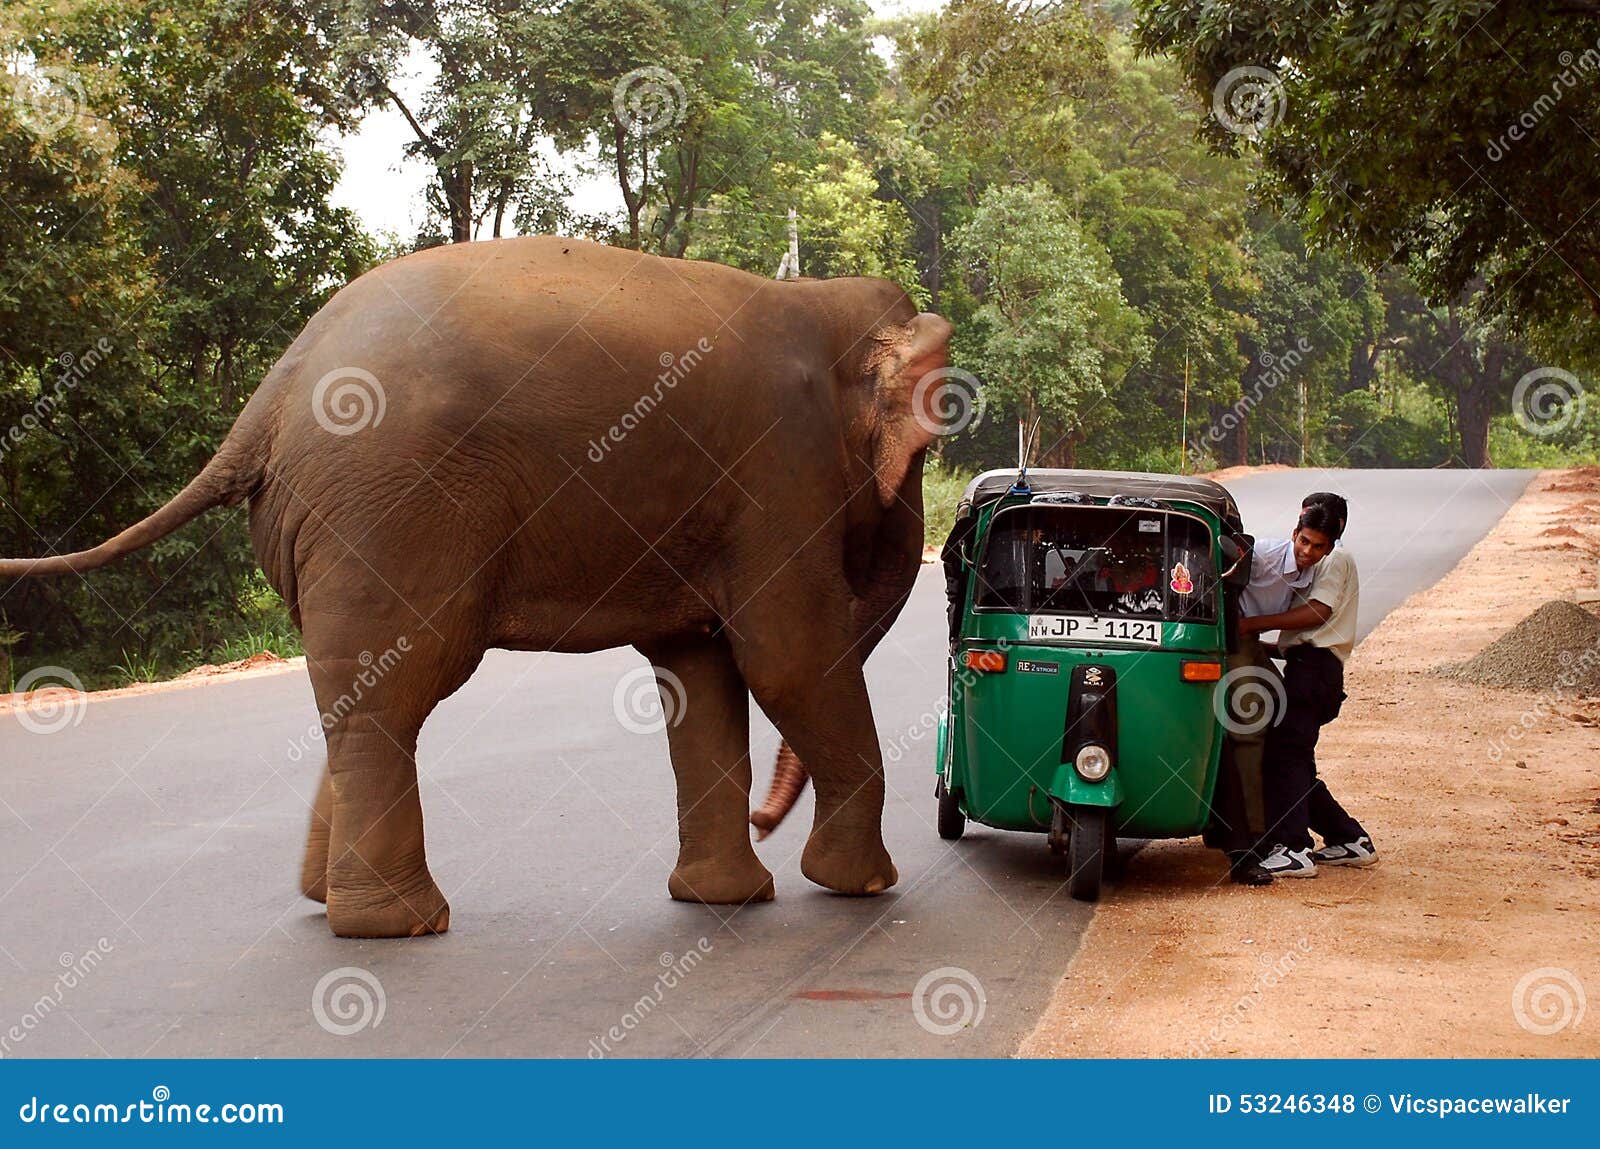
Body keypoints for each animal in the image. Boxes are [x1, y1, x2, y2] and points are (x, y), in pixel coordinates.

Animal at [0, 238, 947, 940]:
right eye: (927, 446)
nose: (763, 819)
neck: (821, 302)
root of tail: (268, 398)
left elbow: (702, 670)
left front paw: (726, 898)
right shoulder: (779, 473)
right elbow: (788, 656)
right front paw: (860, 886)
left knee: (358, 691)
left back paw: (324, 898)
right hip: (393, 509)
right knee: (400, 683)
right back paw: (398, 925)